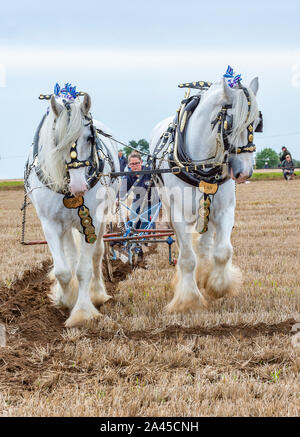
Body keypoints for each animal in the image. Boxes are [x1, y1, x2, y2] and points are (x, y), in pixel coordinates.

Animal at [24, 85, 118, 326]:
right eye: (57, 141)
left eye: (90, 137)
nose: (78, 187)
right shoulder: (50, 223)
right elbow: (63, 271)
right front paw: (65, 299)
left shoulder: (90, 222)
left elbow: (84, 269)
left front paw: (82, 312)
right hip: (65, 224)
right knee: (71, 256)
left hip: (101, 218)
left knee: (96, 255)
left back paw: (97, 293)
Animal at [150, 74, 262, 310]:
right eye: (230, 124)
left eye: (257, 124)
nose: (245, 172)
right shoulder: (179, 214)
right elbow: (186, 258)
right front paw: (188, 299)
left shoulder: (224, 210)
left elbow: (222, 251)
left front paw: (217, 287)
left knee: (204, 245)